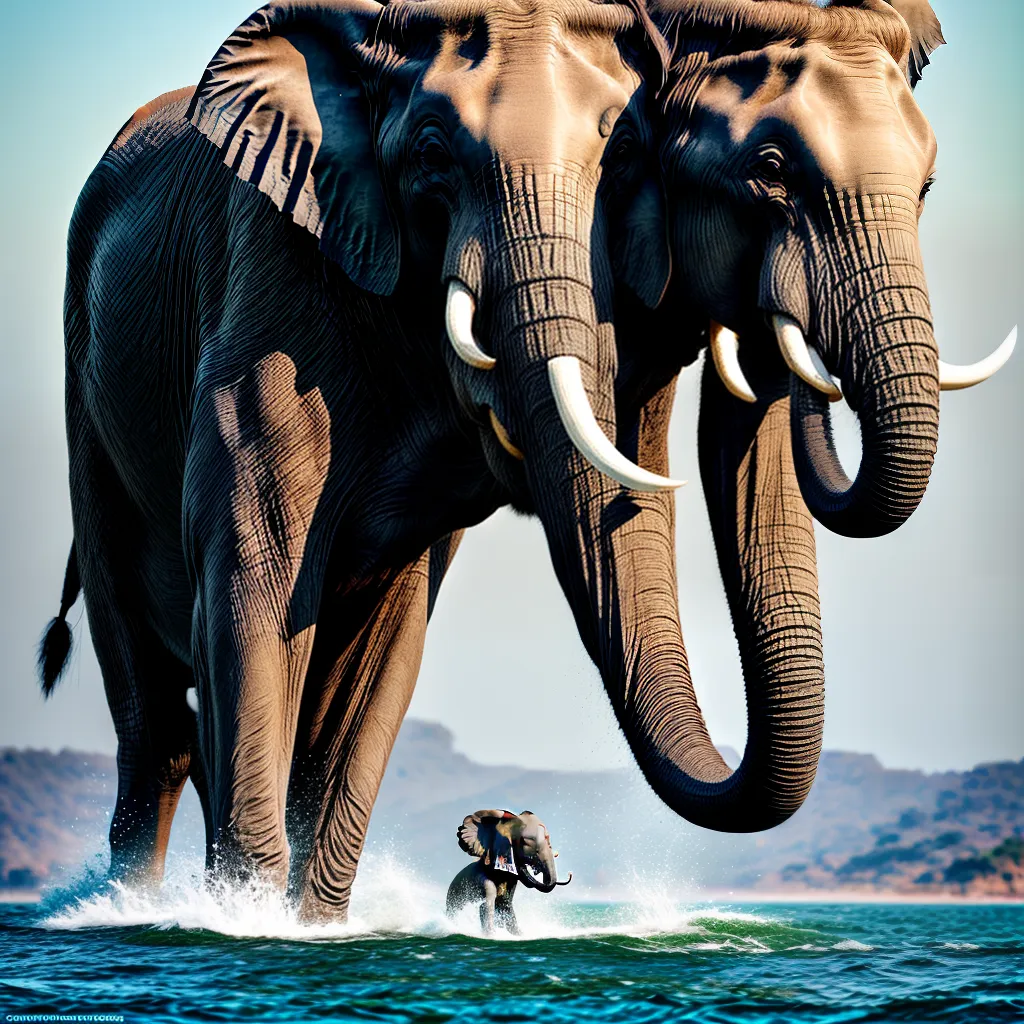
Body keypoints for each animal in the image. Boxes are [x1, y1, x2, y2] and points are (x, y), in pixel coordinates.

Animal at [38, 0, 677, 922]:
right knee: (153, 720)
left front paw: (309, 924)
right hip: (84, 388)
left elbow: (387, 646)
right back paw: (136, 909)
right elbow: (256, 580)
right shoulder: (268, 281)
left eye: (620, 154)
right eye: (433, 154)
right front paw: (251, 924)